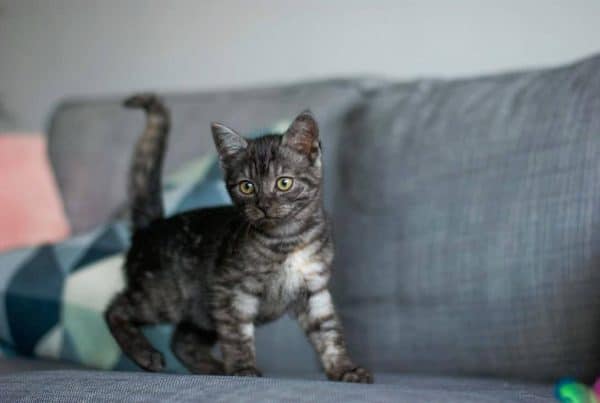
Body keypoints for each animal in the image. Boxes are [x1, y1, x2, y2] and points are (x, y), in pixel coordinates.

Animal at [104, 94, 373, 383]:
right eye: (247, 186)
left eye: (284, 183)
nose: (263, 205)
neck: (286, 240)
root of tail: (152, 227)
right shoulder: (231, 289)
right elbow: (236, 334)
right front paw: (243, 369)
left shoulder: (314, 289)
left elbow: (329, 333)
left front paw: (345, 369)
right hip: (165, 295)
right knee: (115, 308)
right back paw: (145, 354)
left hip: (200, 309)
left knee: (182, 341)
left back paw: (214, 368)